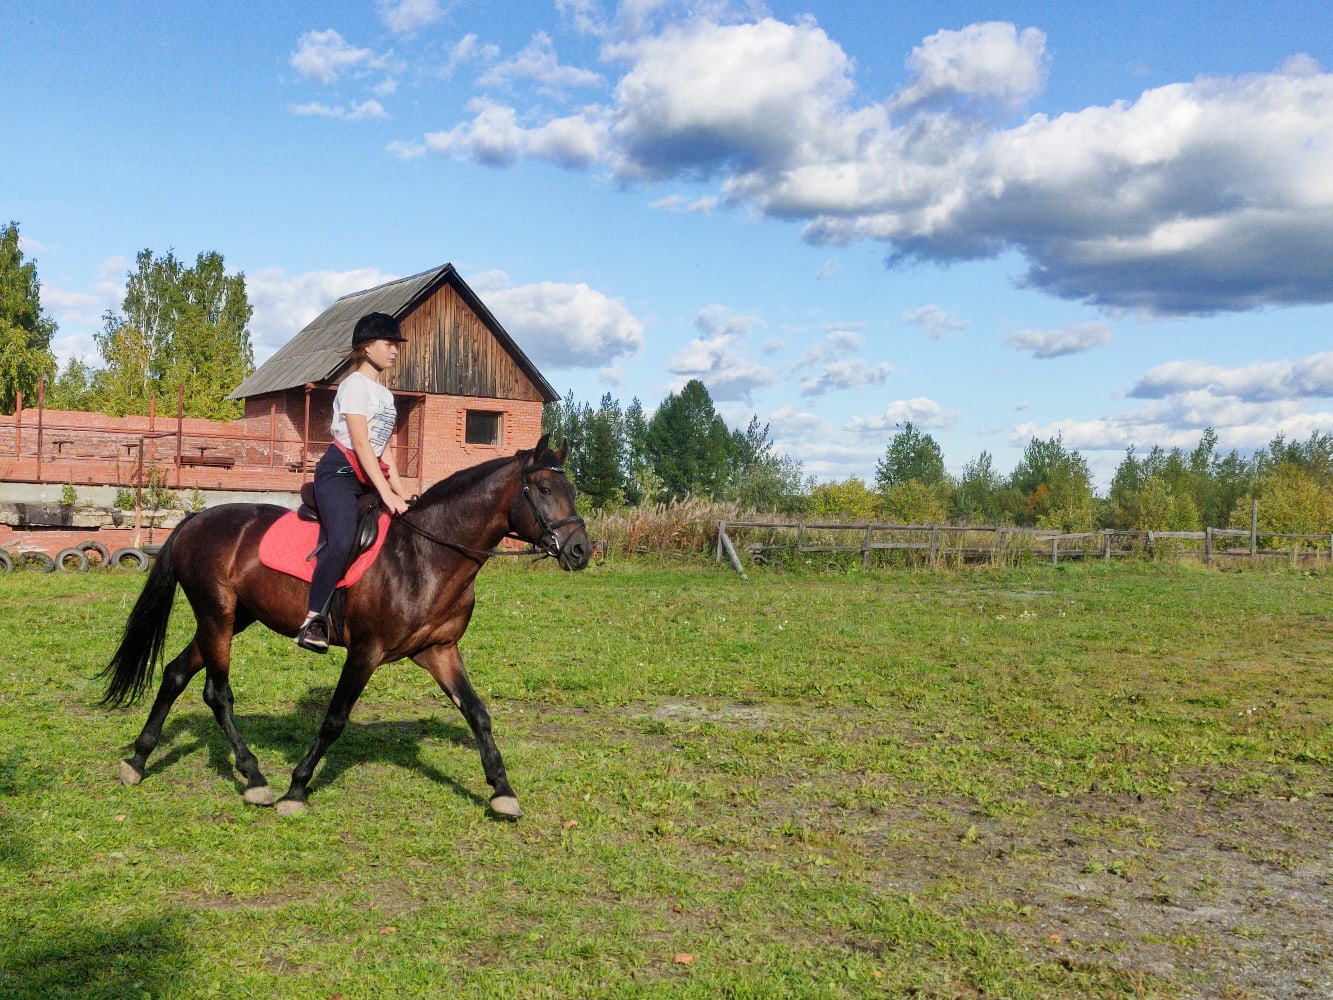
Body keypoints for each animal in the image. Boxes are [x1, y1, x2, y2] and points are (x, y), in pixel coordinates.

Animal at [98, 434, 589, 816]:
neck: (426, 555)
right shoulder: (365, 652)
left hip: (232, 619)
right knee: (217, 694)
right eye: (544, 488)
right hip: (217, 616)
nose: (582, 550)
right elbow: (334, 719)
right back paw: (255, 778)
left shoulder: (439, 651)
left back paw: (138, 761)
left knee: (175, 674)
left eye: (570, 488)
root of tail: (194, 520)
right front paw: (296, 789)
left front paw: (502, 792)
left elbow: (478, 714)